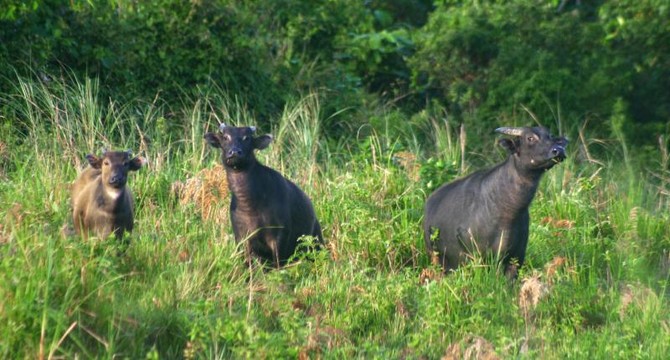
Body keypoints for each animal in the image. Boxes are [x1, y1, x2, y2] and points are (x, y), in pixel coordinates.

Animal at [203, 124, 324, 268]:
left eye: (247, 138)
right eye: (225, 137)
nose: (235, 152)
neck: (250, 205)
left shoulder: (279, 237)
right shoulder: (242, 239)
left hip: (316, 242)